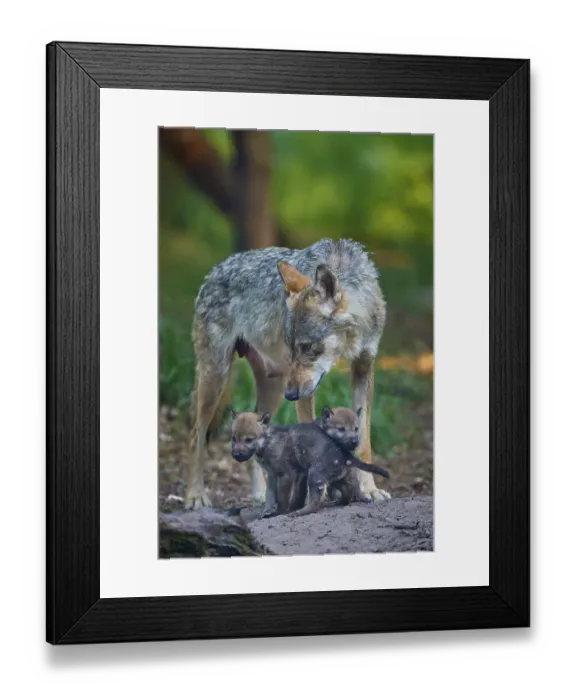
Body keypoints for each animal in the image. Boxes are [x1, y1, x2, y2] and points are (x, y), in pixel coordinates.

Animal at [230, 410, 390, 518]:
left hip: (315, 475)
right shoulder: (272, 474)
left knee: (316, 502)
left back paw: (300, 512)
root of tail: (346, 456)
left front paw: (279, 512)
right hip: (334, 479)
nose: (236, 455)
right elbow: (269, 495)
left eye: (249, 440)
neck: (268, 441)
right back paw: (338, 502)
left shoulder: (287, 475)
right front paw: (266, 511)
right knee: (348, 491)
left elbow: (282, 498)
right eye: (234, 438)